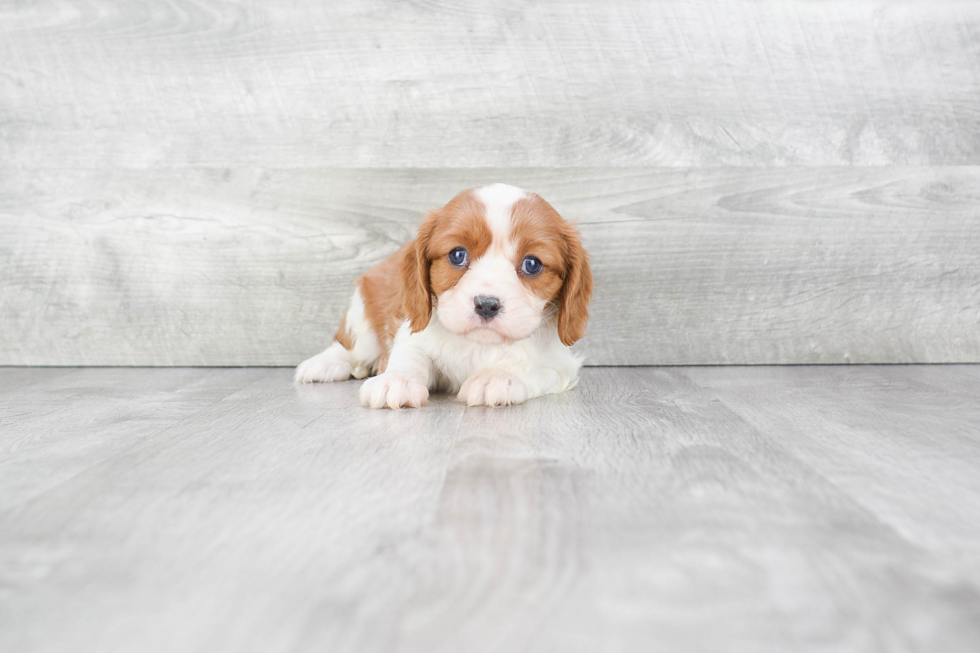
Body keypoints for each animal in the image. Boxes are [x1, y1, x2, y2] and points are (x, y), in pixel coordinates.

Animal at [294, 183, 592, 408]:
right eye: (457, 255)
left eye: (532, 264)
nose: (486, 304)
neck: (479, 344)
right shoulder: (413, 334)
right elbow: (410, 355)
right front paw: (397, 380)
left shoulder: (559, 363)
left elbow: (531, 366)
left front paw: (497, 377)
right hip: (363, 313)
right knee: (349, 346)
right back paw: (326, 364)